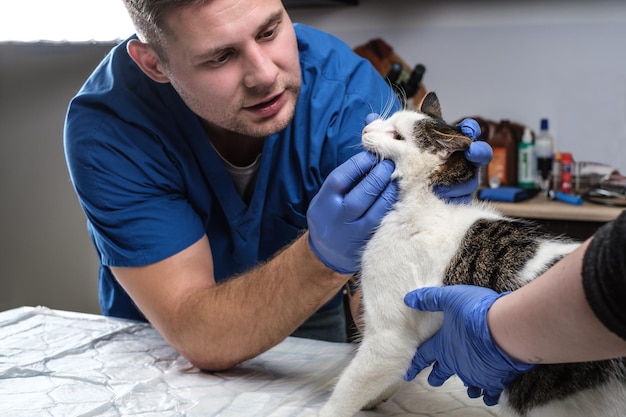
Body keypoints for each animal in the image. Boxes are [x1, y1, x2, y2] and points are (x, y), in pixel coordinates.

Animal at [320, 92, 624, 416]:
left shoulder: (389, 338)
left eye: (397, 135)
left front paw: (325, 411)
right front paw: (378, 398)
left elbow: (352, 385)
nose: (366, 128)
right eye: (388, 121)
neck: (425, 203)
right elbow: (395, 375)